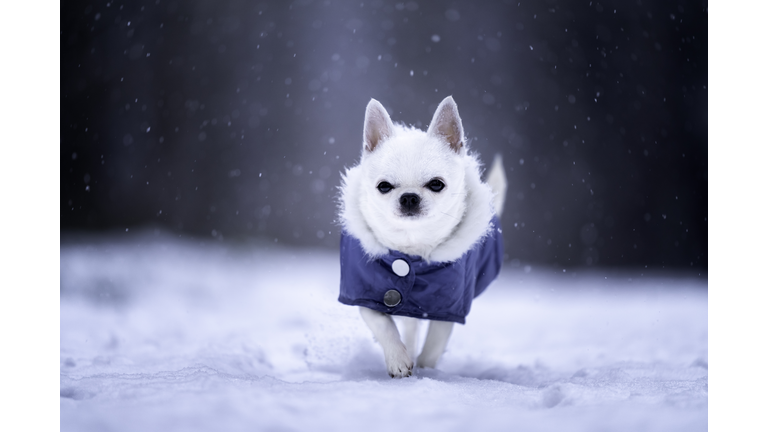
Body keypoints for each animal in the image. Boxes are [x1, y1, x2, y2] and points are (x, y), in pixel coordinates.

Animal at [340, 96, 508, 376]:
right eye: (383, 186)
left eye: (436, 184)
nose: (409, 197)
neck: (411, 248)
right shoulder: (364, 294)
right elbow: (383, 325)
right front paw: (397, 359)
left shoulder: (449, 306)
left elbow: (434, 343)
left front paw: (426, 370)